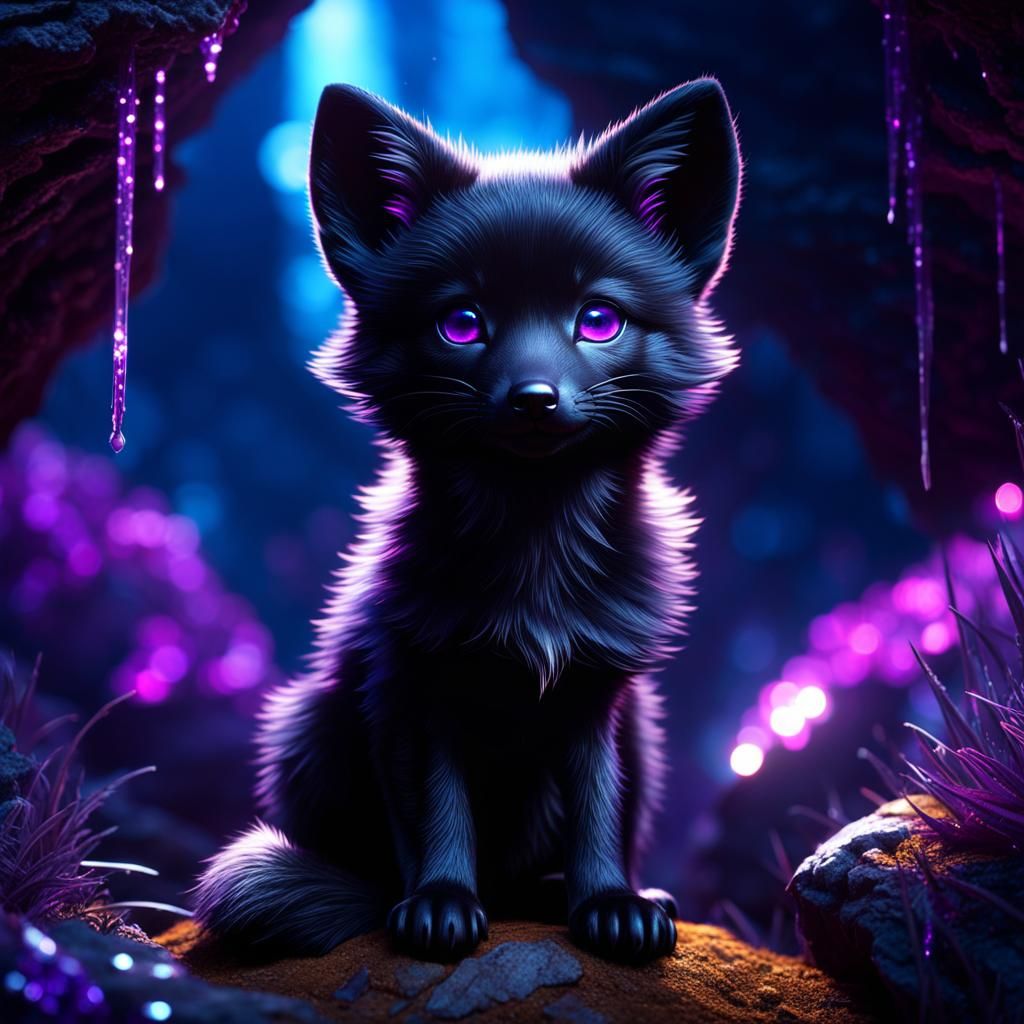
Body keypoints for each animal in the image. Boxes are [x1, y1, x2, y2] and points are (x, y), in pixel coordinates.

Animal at [194, 77, 741, 965]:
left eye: (599, 319)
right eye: (462, 323)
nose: (533, 399)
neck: (535, 549)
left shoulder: (599, 694)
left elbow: (597, 809)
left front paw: (610, 906)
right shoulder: (413, 684)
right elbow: (438, 812)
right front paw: (439, 906)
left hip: (647, 730)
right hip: (303, 723)